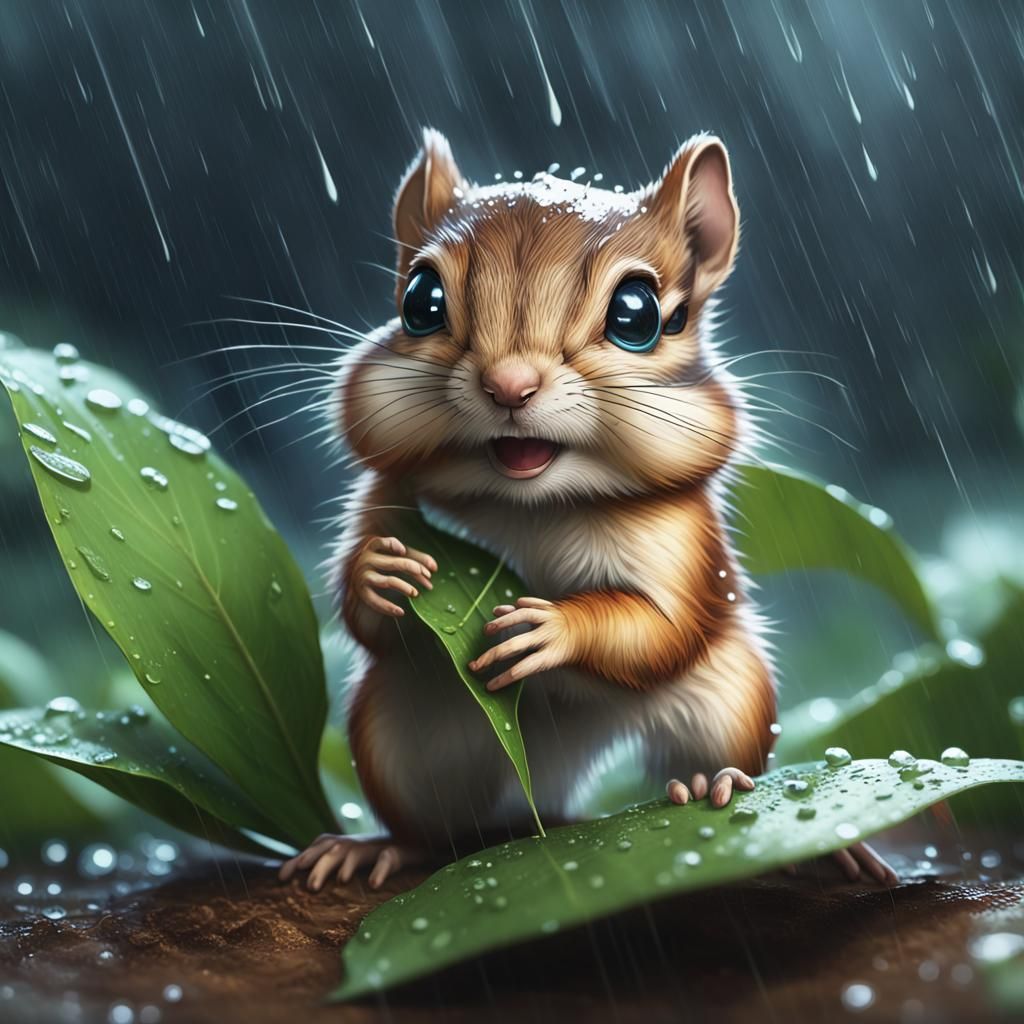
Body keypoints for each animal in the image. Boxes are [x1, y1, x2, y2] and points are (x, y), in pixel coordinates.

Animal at [279, 128, 897, 892]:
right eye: (420, 301)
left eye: (638, 314)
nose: (509, 384)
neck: (535, 503)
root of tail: (559, 761)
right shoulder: (385, 498)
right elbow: (366, 613)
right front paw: (378, 575)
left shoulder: (683, 545)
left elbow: (660, 628)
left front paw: (553, 628)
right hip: (402, 732)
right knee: (434, 828)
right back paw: (379, 847)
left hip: (730, 698)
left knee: (720, 752)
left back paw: (724, 791)